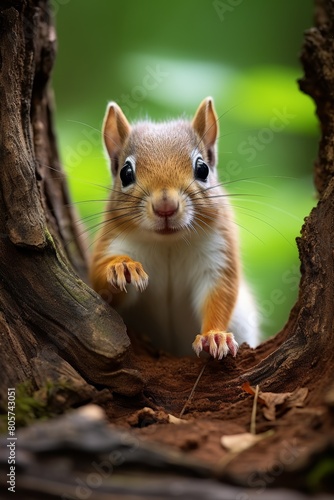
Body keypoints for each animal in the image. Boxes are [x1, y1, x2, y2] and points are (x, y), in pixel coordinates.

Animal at [88, 97, 258, 358]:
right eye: (125, 173)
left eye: (203, 169)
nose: (165, 206)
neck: (168, 243)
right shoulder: (113, 241)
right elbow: (100, 284)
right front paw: (122, 266)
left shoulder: (217, 253)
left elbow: (220, 294)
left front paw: (215, 335)